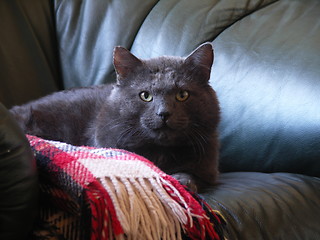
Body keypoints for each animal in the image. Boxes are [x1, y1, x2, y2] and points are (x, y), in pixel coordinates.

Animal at [10, 43, 220, 192]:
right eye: (145, 95)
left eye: (182, 95)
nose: (164, 113)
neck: (161, 151)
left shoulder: (208, 167)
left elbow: (192, 174)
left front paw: (182, 181)